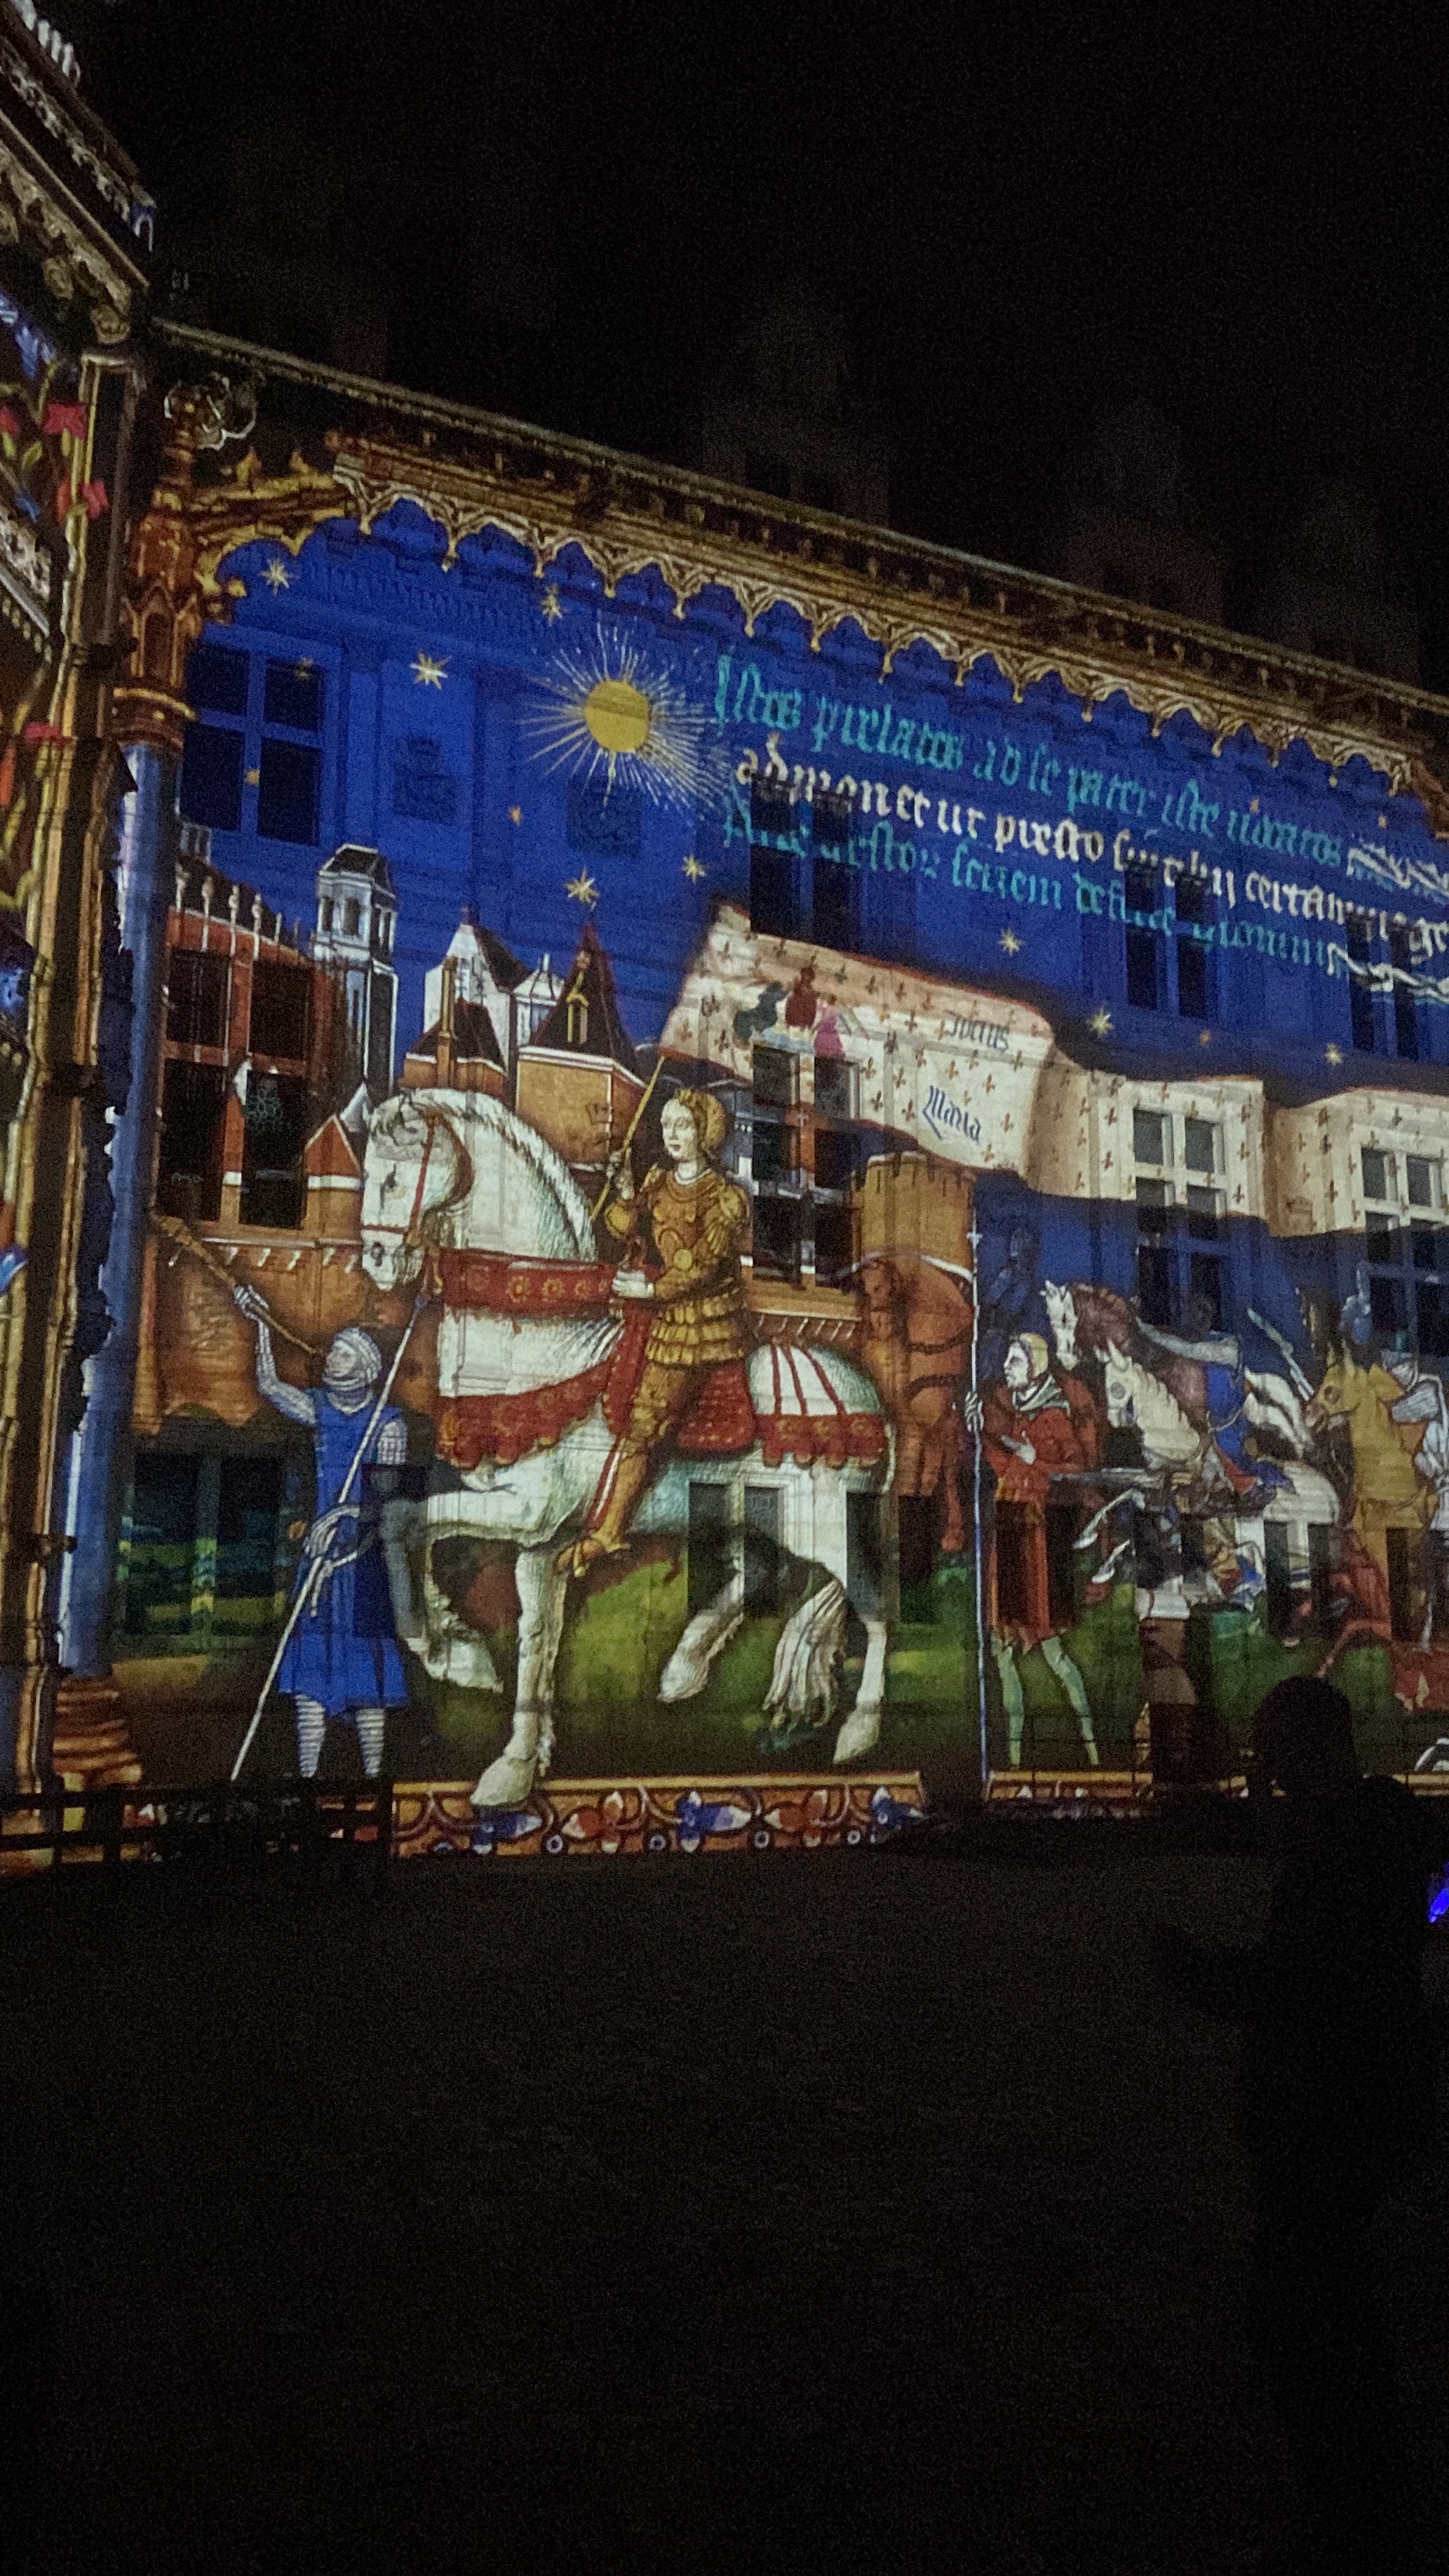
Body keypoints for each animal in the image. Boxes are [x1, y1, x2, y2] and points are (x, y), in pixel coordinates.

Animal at [360, 1090, 896, 1809]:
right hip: (748, 1512)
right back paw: (683, 1669)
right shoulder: (543, 1541)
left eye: (393, 1177)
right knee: (759, 1572)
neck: (547, 1342)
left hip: (826, 1524)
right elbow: (535, 1638)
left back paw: (858, 1734)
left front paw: (454, 1655)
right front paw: (514, 1753)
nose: (377, 1260)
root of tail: (871, 1396)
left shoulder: (529, 1512)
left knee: (873, 1607)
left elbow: (405, 1522)